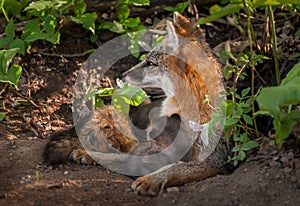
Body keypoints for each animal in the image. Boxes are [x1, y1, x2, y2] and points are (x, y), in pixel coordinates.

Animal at [44, 11, 233, 196]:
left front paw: (152, 179)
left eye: (150, 63)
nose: (122, 74)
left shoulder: (213, 162)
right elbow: (126, 155)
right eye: (146, 59)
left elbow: (173, 168)